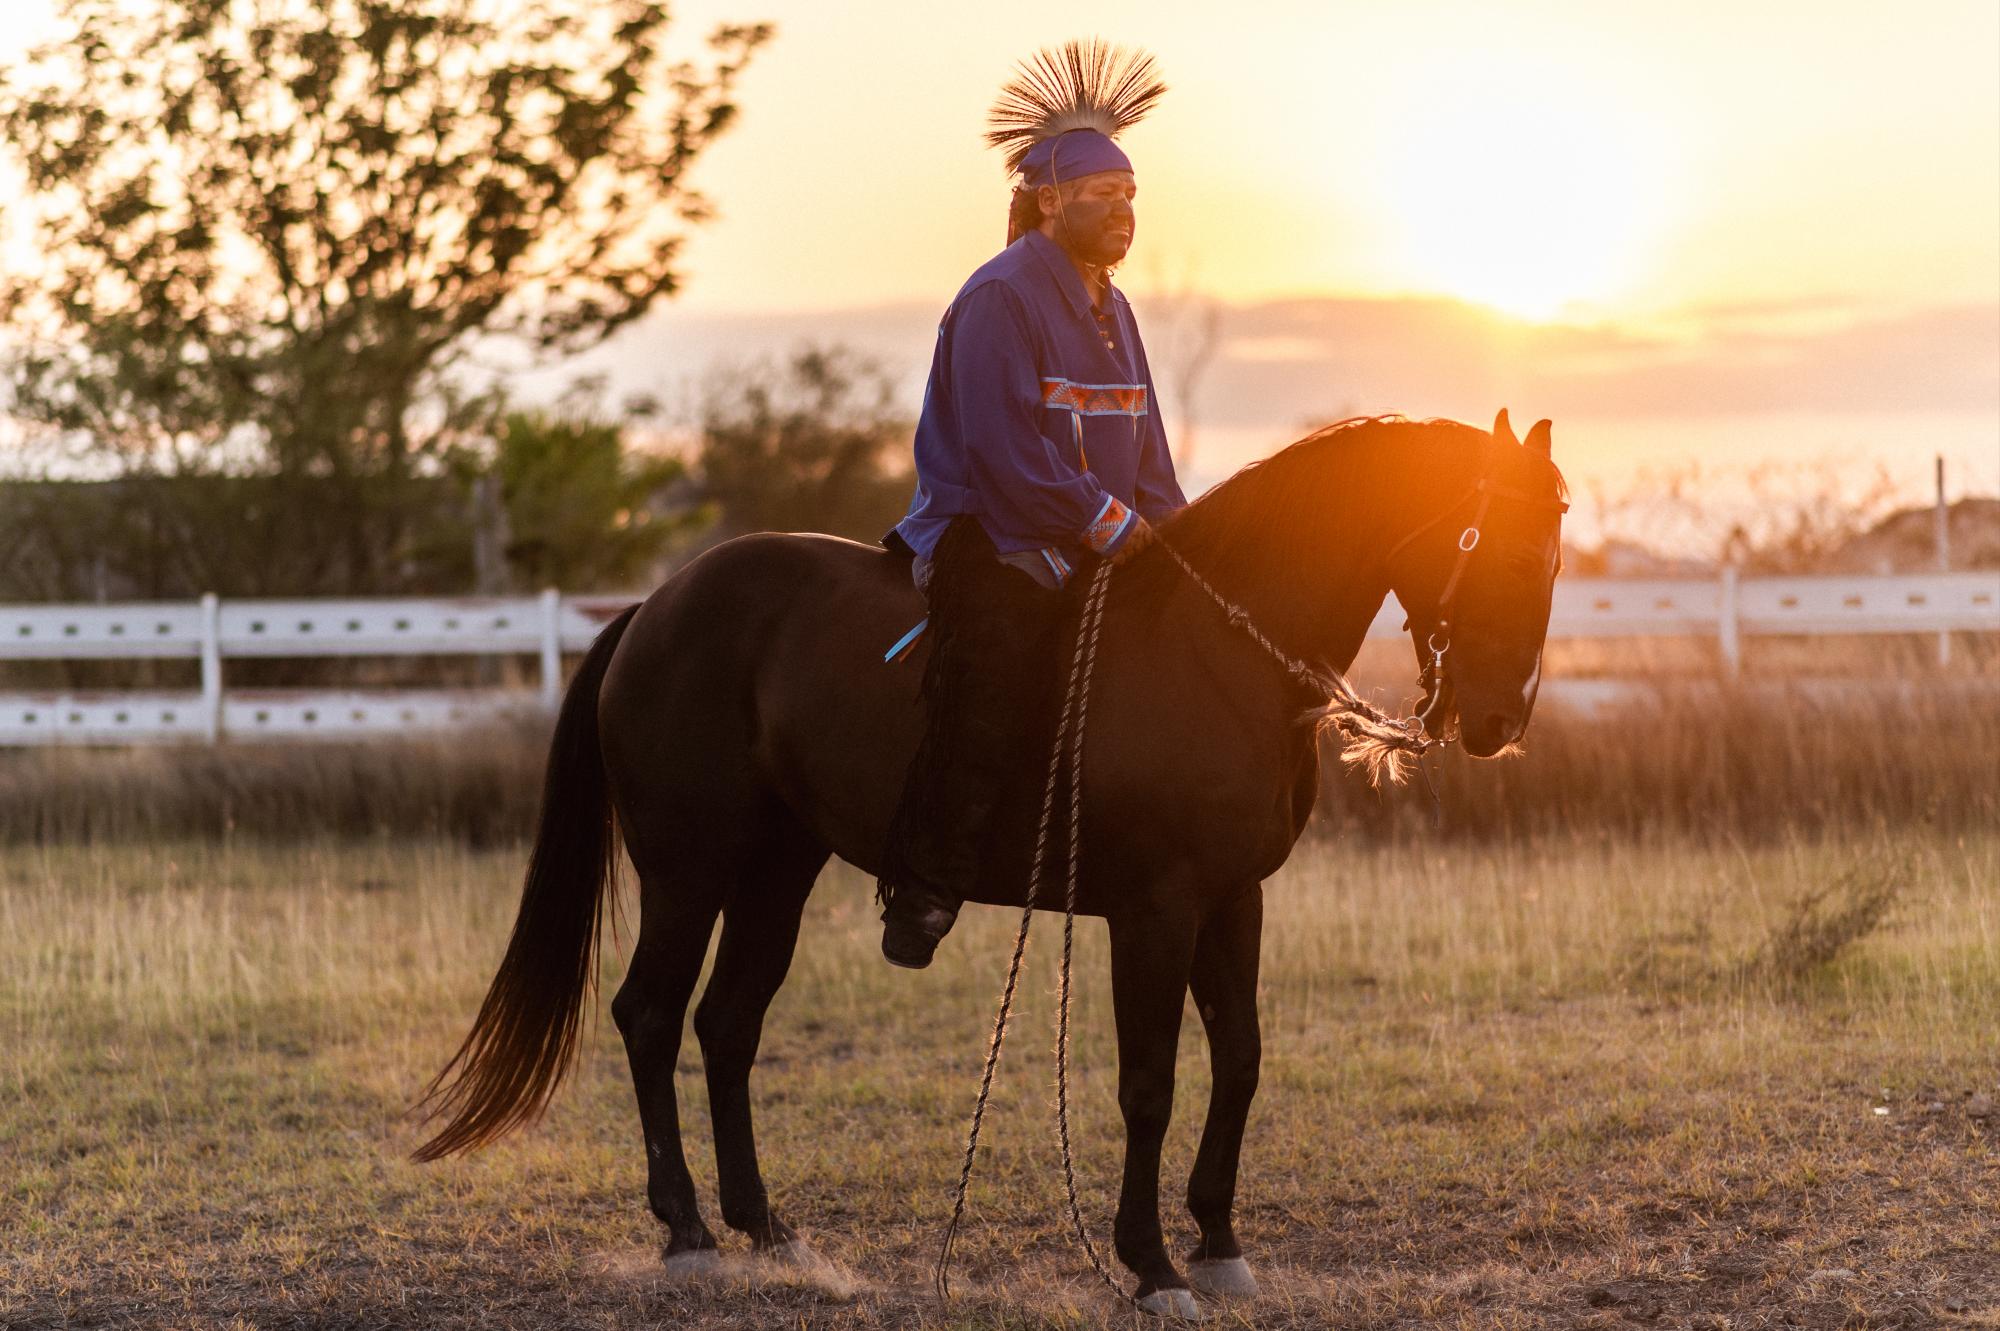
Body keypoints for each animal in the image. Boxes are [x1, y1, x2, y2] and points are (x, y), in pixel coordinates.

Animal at [422, 409, 1568, 1311]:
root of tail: (653, 609)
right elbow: (1149, 1081)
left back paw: (768, 1227)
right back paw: (688, 1232)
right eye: (1507, 550)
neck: (1215, 651)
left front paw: (1219, 1241)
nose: (1500, 722)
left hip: (777, 871)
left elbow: (1239, 1058)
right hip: (687, 870)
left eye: (1554, 558)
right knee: (652, 1016)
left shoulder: (1232, 897)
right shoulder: (1153, 910)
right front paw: (1152, 1263)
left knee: (727, 1023)